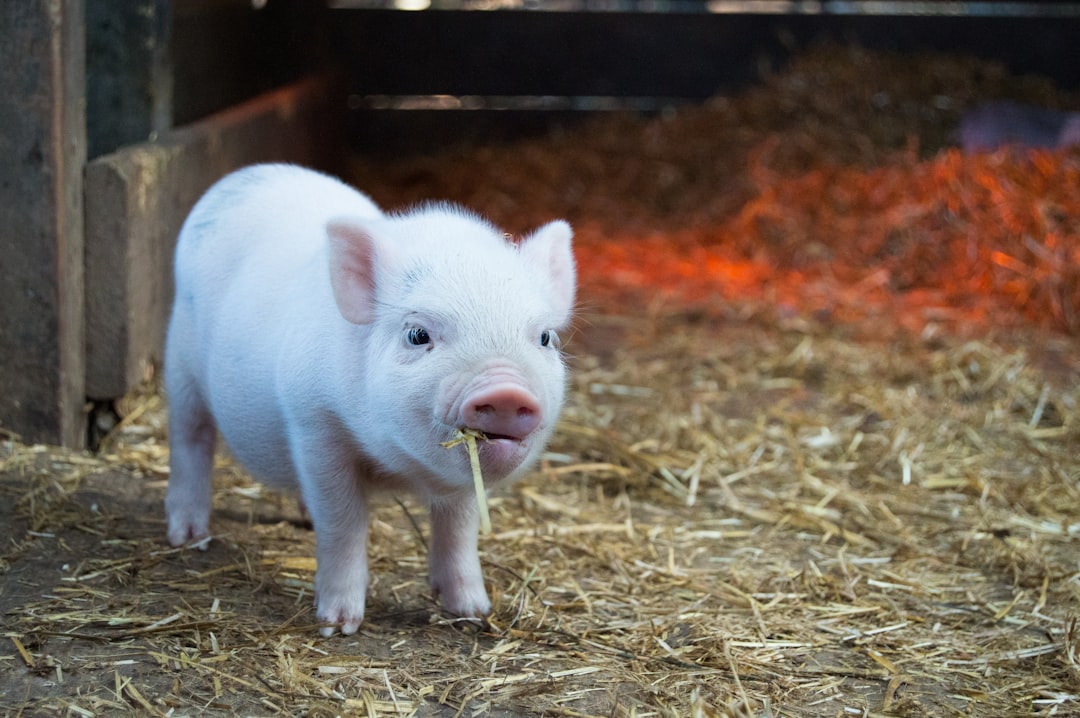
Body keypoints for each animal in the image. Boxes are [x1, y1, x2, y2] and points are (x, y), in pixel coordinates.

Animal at [164, 163, 575, 636]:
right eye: (417, 334)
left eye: (544, 338)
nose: (506, 390)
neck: (398, 468)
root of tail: (245, 175)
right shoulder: (314, 425)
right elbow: (342, 523)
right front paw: (338, 626)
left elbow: (459, 527)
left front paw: (473, 612)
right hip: (180, 364)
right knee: (190, 439)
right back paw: (188, 537)